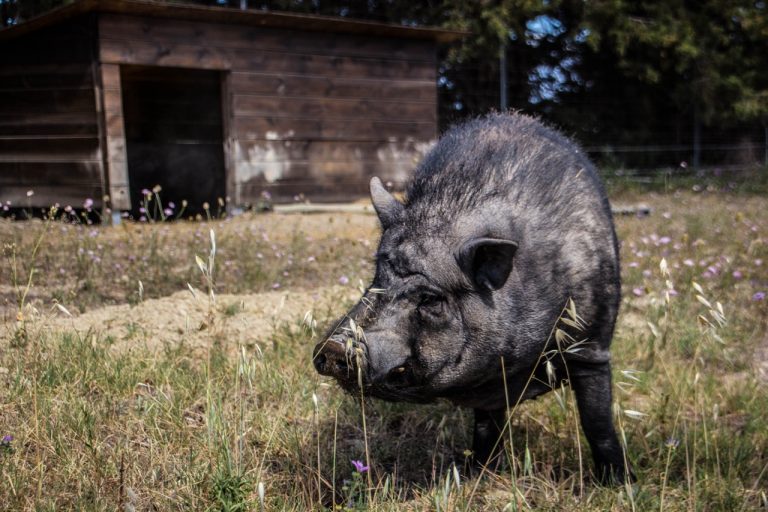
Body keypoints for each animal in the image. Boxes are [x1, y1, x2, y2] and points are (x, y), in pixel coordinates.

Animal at [313, 112, 631, 484]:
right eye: (376, 279)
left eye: (431, 299)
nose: (334, 346)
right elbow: (485, 426)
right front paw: (477, 473)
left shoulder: (592, 346)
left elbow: (597, 421)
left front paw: (619, 483)